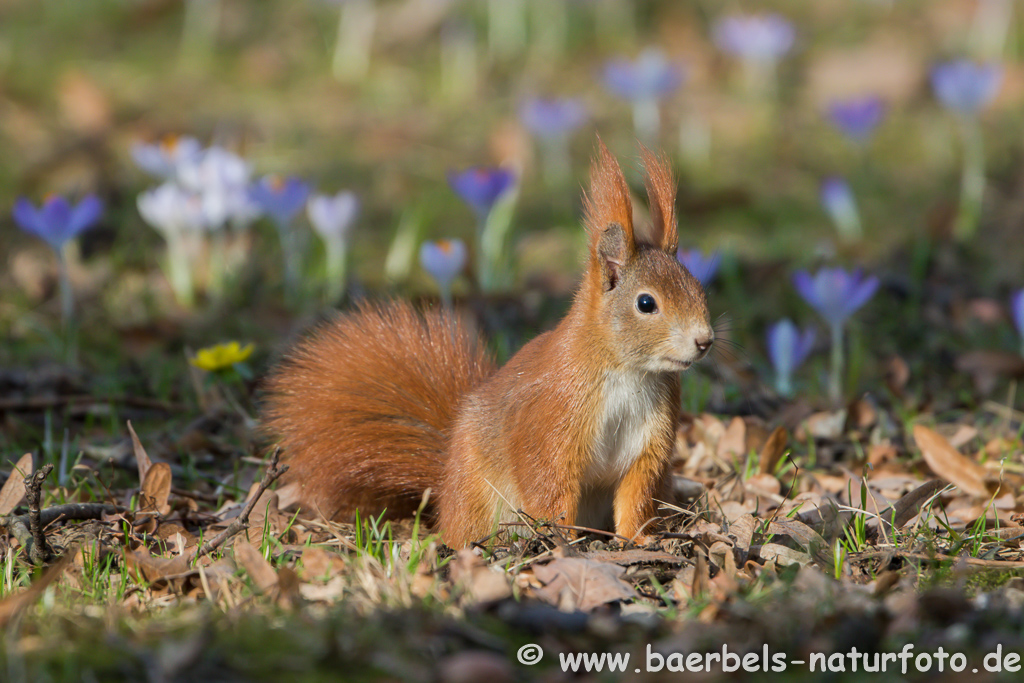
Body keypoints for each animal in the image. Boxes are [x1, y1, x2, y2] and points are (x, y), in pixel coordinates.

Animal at [264, 141, 712, 548]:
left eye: (698, 287)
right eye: (646, 304)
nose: (704, 340)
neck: (627, 372)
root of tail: (446, 485)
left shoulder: (652, 442)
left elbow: (636, 495)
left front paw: (638, 539)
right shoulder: (552, 419)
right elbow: (549, 485)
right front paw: (563, 541)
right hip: (477, 496)